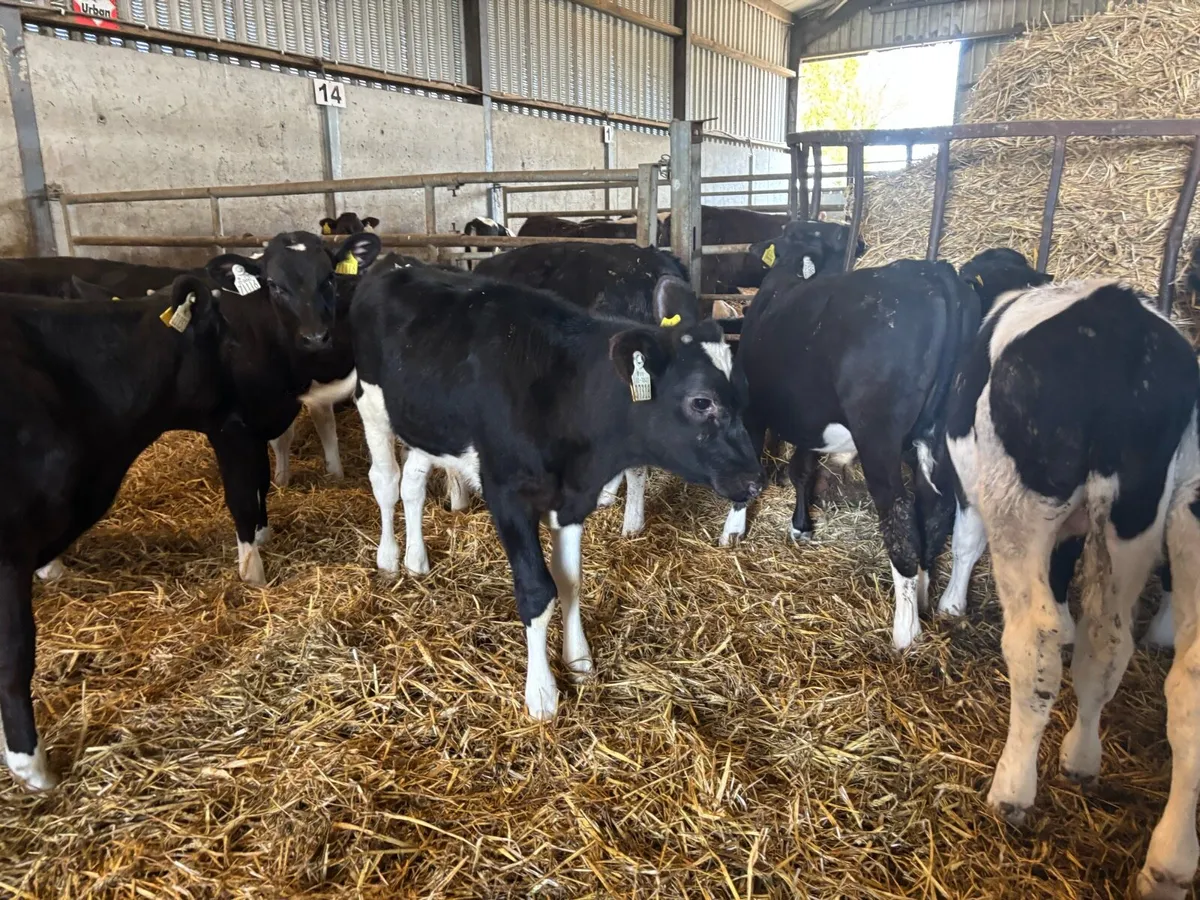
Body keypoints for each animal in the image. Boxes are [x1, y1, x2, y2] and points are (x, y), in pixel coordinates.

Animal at [350, 264, 762, 720]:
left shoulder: (573, 500)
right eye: (701, 401)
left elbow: (570, 581)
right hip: (371, 404)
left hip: (426, 425)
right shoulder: (508, 496)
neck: (567, 392)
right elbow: (536, 590)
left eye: (745, 391)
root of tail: (396, 264)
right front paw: (542, 692)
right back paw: (389, 559)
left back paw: (417, 560)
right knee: (386, 482)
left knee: (413, 483)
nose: (753, 480)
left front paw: (578, 659)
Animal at [720, 221, 975, 650]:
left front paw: (733, 528)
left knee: (899, 511)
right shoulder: (809, 420)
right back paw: (924, 593)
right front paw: (800, 526)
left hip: (878, 436)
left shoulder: (752, 409)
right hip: (939, 434)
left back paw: (906, 630)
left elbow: (753, 461)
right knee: (934, 507)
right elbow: (802, 470)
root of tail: (932, 272)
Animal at [934, 276, 1200, 900]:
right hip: (1139, 519)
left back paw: (1012, 789)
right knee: (1113, 644)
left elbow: (966, 538)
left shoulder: (974, 490)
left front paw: (951, 605)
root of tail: (1119, 319)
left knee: (1036, 640)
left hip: (1019, 504)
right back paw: (1089, 766)